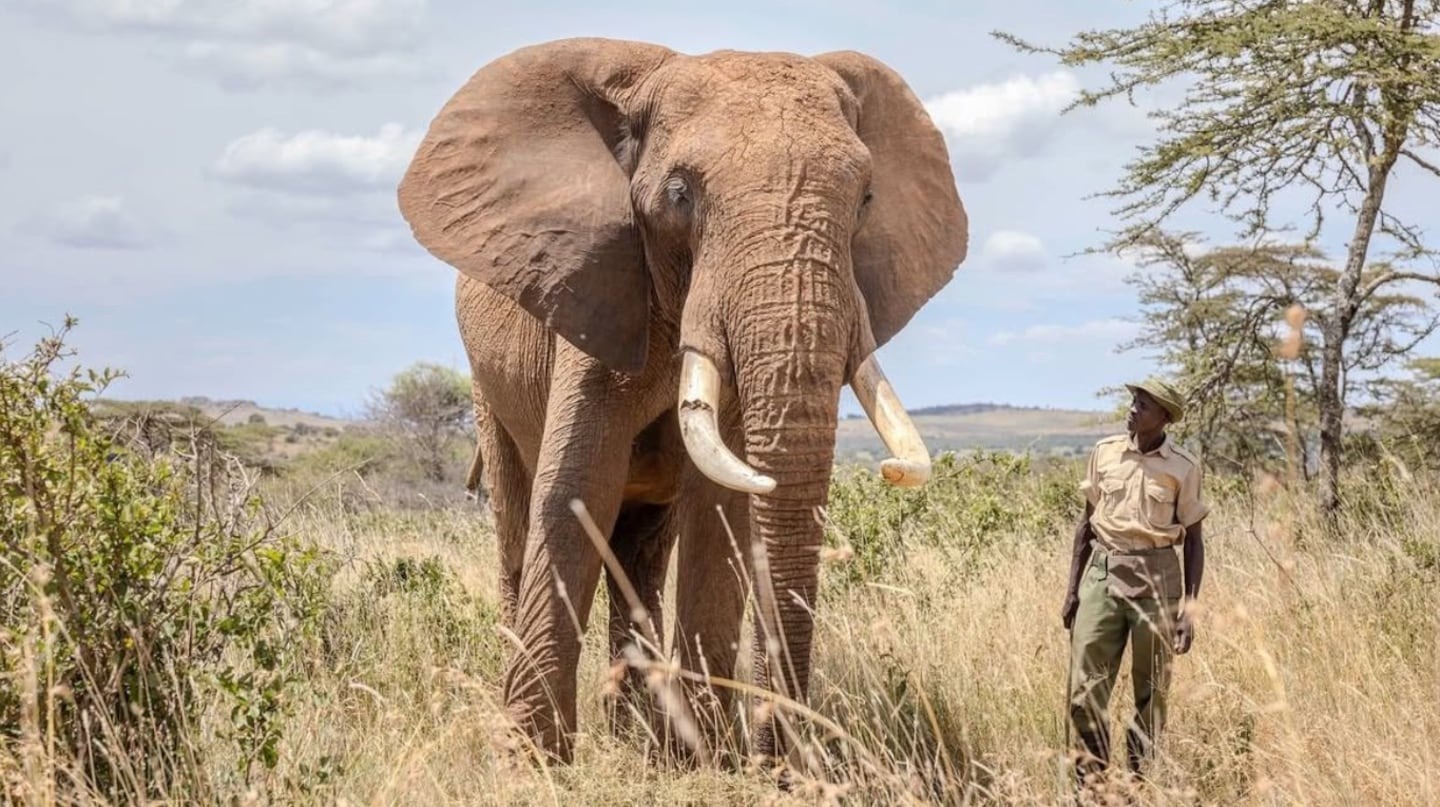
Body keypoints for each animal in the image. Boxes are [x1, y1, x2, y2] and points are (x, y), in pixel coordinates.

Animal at [397, 37, 968, 765]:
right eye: (679, 195)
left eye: (866, 197)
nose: (777, 759)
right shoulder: (598, 291)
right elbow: (575, 492)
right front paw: (534, 766)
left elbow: (717, 511)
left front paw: (698, 763)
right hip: (485, 383)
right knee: (518, 523)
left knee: (639, 550)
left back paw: (639, 735)